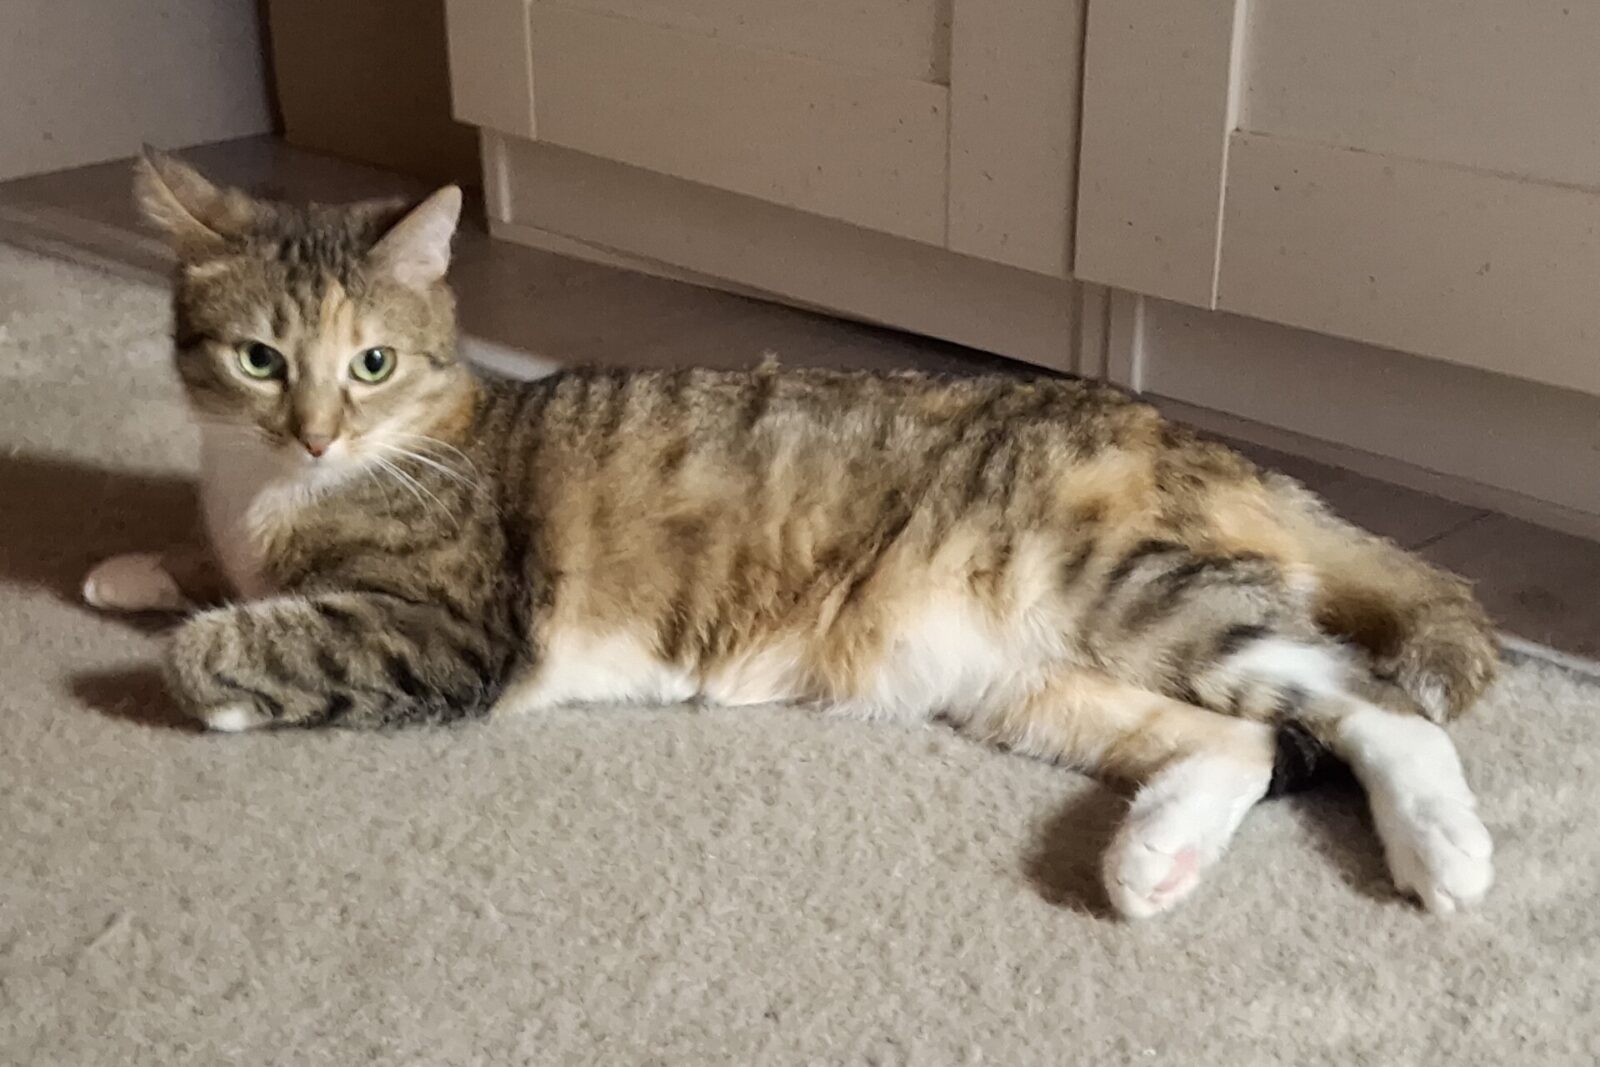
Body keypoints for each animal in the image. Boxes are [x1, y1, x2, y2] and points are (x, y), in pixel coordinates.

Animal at [85, 150, 1499, 919]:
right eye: (260, 359)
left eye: (370, 362)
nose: (316, 433)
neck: (275, 490)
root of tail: (1179, 428)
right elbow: (208, 569)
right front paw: (135, 564)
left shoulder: (449, 630)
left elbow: (242, 642)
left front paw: (195, 660)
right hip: (1023, 677)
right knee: (1242, 740)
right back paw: (1155, 859)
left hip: (1122, 588)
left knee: (1368, 700)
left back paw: (1443, 848)